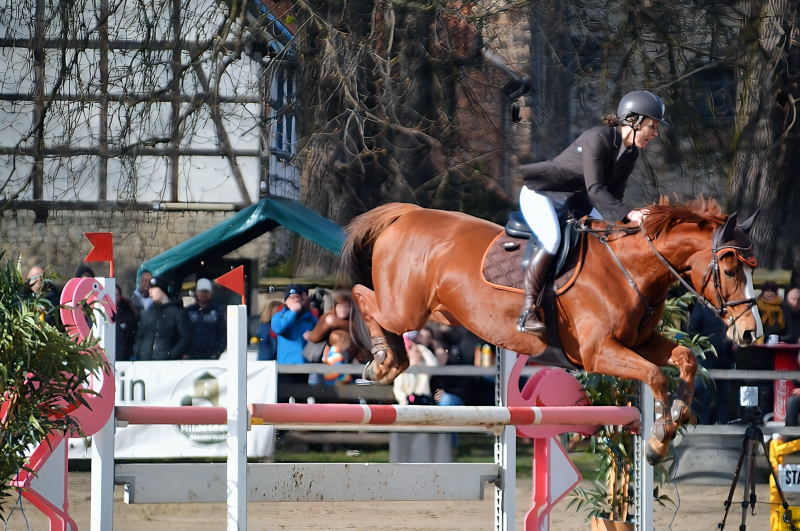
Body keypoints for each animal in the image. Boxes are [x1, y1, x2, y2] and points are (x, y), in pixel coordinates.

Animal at [340, 196, 764, 466]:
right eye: (730, 270)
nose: (750, 334)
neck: (630, 268)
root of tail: (407, 215)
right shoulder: (598, 352)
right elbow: (657, 376)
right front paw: (659, 438)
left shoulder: (639, 343)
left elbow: (685, 358)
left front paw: (676, 415)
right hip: (404, 309)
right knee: (363, 295)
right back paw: (384, 360)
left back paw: (387, 360)